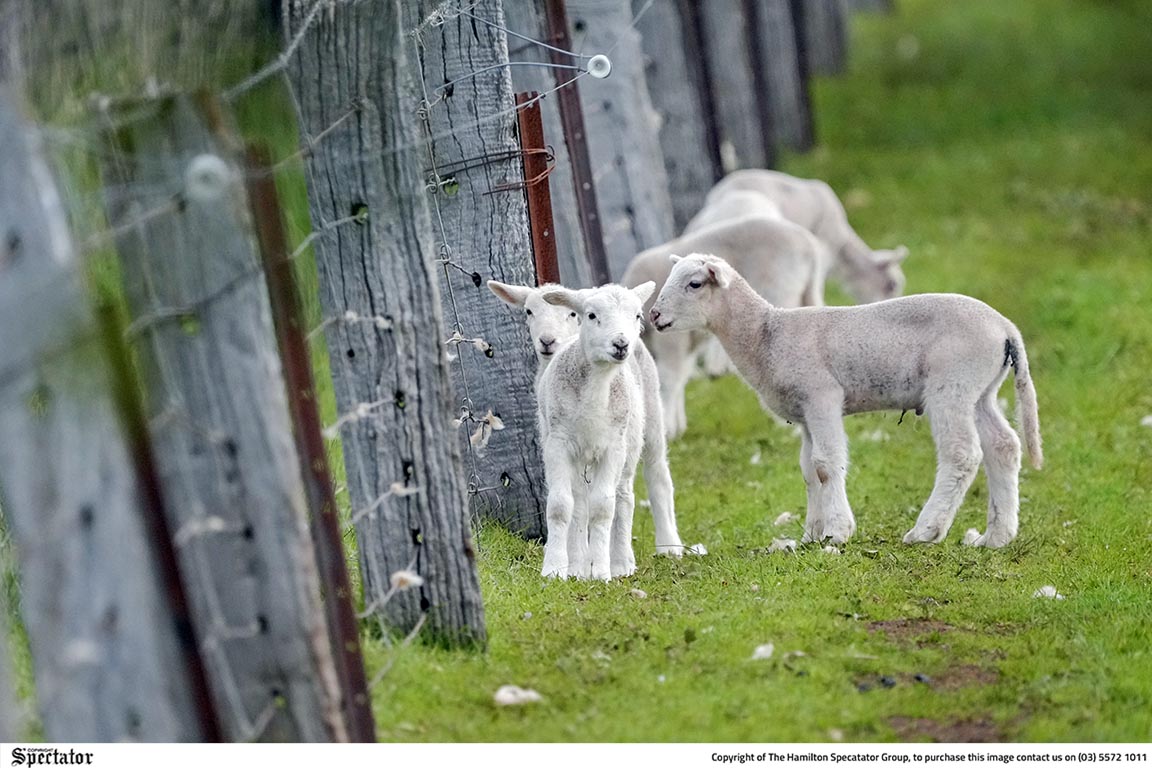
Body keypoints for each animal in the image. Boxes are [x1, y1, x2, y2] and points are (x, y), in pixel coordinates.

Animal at [488, 280, 681, 575]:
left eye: (637, 315)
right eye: (529, 311)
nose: (621, 344)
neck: (598, 384)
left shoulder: (612, 447)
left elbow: (602, 507)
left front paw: (600, 570)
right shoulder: (559, 444)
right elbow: (564, 505)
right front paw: (561, 567)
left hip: (646, 424)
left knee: (646, 481)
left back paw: (649, 553)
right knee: (592, 499)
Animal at [622, 215, 829, 437]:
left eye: (695, 284)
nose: (654, 314)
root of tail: (808, 244)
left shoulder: (672, 341)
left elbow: (669, 380)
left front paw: (667, 429)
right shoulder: (686, 344)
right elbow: (680, 378)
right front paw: (677, 426)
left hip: (782, 290)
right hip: (808, 292)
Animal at [649, 255, 1046, 550]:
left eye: (694, 284)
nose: (653, 315)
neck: (765, 334)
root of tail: (1005, 328)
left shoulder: (822, 396)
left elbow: (826, 464)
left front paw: (837, 531)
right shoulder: (804, 411)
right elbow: (808, 469)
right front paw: (810, 533)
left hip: (952, 384)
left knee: (962, 453)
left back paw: (926, 531)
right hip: (981, 391)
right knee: (1003, 446)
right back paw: (995, 537)